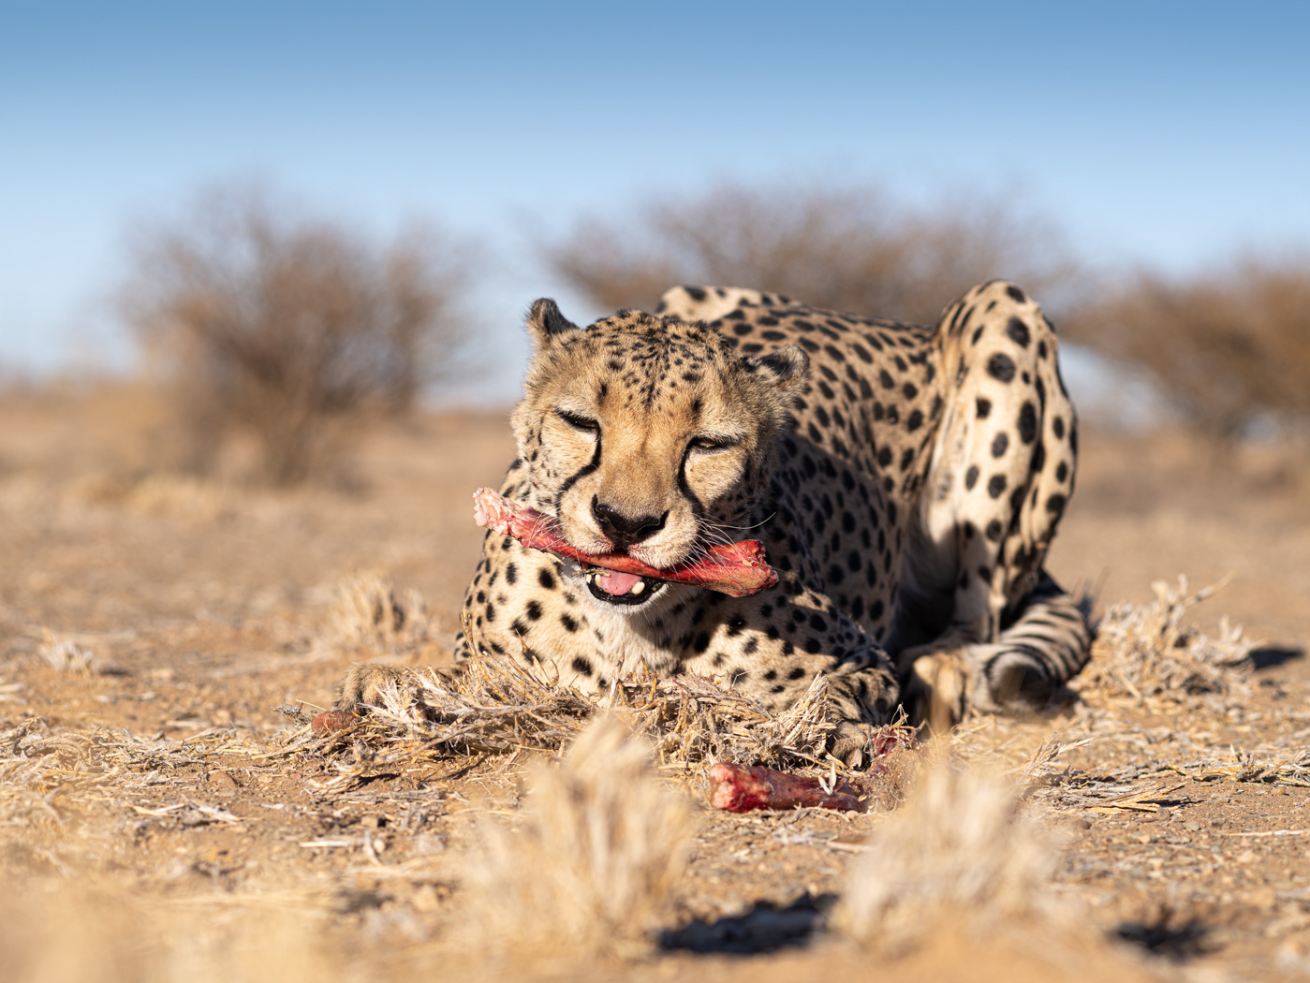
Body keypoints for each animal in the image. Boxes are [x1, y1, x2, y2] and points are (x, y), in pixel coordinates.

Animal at [341, 280, 1091, 764]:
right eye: (582, 422)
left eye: (708, 444)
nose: (626, 523)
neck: (629, 627)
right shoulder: (491, 662)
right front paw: (391, 686)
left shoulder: (861, 658)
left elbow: (837, 690)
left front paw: (829, 729)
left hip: (1002, 313)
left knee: (981, 609)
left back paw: (945, 666)